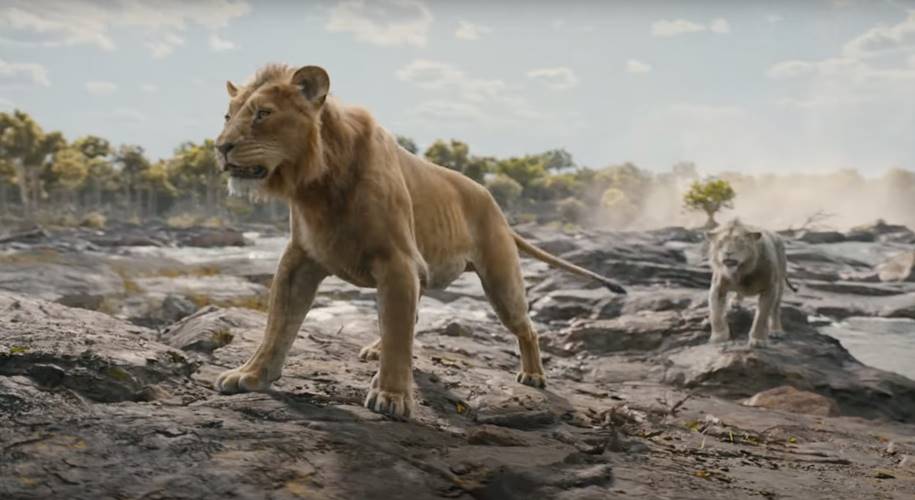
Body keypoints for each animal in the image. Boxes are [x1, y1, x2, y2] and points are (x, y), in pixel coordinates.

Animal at [213, 64, 626, 418]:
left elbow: (398, 334)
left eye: (262, 114)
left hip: (501, 280)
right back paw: (375, 350)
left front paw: (392, 396)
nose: (220, 147)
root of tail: (496, 206)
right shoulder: (300, 259)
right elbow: (278, 325)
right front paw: (250, 375)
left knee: (526, 326)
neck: (317, 185)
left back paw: (534, 375)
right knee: (408, 316)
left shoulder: (397, 262)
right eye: (227, 117)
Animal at [707, 218, 796, 347]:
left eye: (740, 242)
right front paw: (718, 337)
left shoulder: (770, 288)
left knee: (775, 309)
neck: (741, 271)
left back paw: (776, 330)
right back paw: (736, 301)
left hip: (780, 283)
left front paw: (758, 340)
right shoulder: (717, 288)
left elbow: (761, 316)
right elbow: (716, 314)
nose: (728, 252)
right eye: (720, 242)